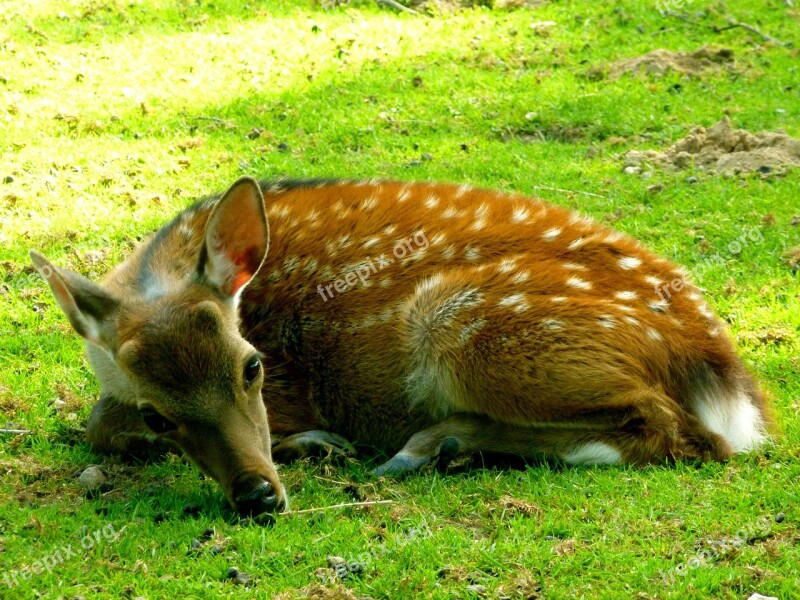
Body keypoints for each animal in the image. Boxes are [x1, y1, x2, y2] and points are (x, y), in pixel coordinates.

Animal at [32, 177, 776, 516]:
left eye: (253, 367)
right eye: (159, 413)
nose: (258, 494)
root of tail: (716, 361)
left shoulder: (293, 390)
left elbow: (98, 426)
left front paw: (316, 443)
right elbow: (101, 424)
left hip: (468, 327)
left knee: (675, 431)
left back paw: (428, 447)